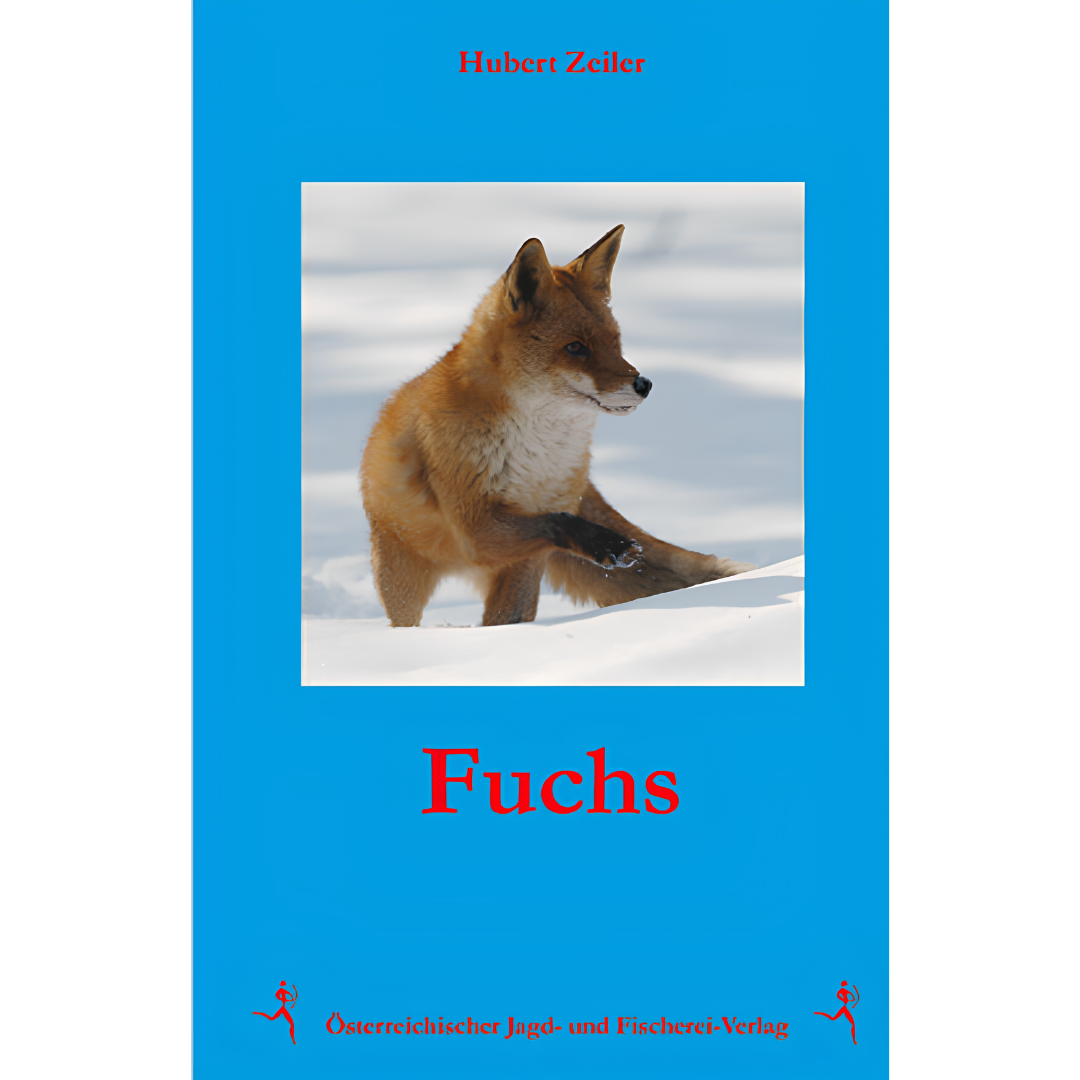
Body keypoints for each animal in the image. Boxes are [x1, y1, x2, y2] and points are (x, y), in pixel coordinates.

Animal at [360, 224, 755, 627]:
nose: (643, 384)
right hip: (401, 578)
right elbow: (557, 523)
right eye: (576, 348)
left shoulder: (532, 548)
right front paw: (603, 543)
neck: (537, 457)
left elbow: (517, 603)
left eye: (615, 341)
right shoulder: (476, 529)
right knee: (403, 620)